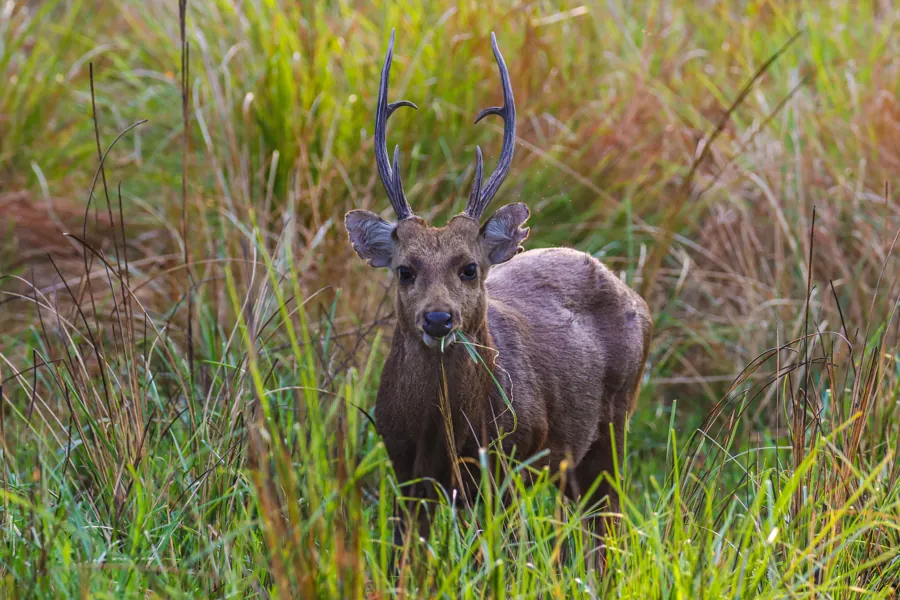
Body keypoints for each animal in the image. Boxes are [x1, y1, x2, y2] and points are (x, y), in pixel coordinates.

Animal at [345, 30, 652, 568]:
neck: (441, 432)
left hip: (614, 426)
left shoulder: (511, 461)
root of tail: (638, 299)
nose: (439, 318)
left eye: (469, 268)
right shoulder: (404, 468)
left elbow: (499, 560)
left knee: (607, 531)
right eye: (405, 270)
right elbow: (408, 559)